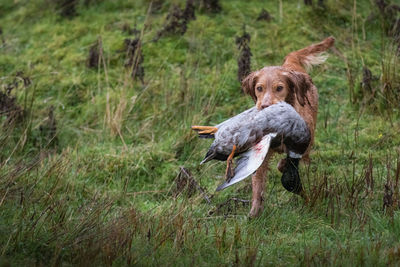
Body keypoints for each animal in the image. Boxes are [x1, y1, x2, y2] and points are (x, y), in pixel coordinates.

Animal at [242, 37, 336, 218]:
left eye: (279, 88)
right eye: (259, 88)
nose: (265, 106)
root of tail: (290, 63)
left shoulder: (302, 143)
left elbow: (288, 173)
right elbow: (258, 182)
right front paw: (254, 212)